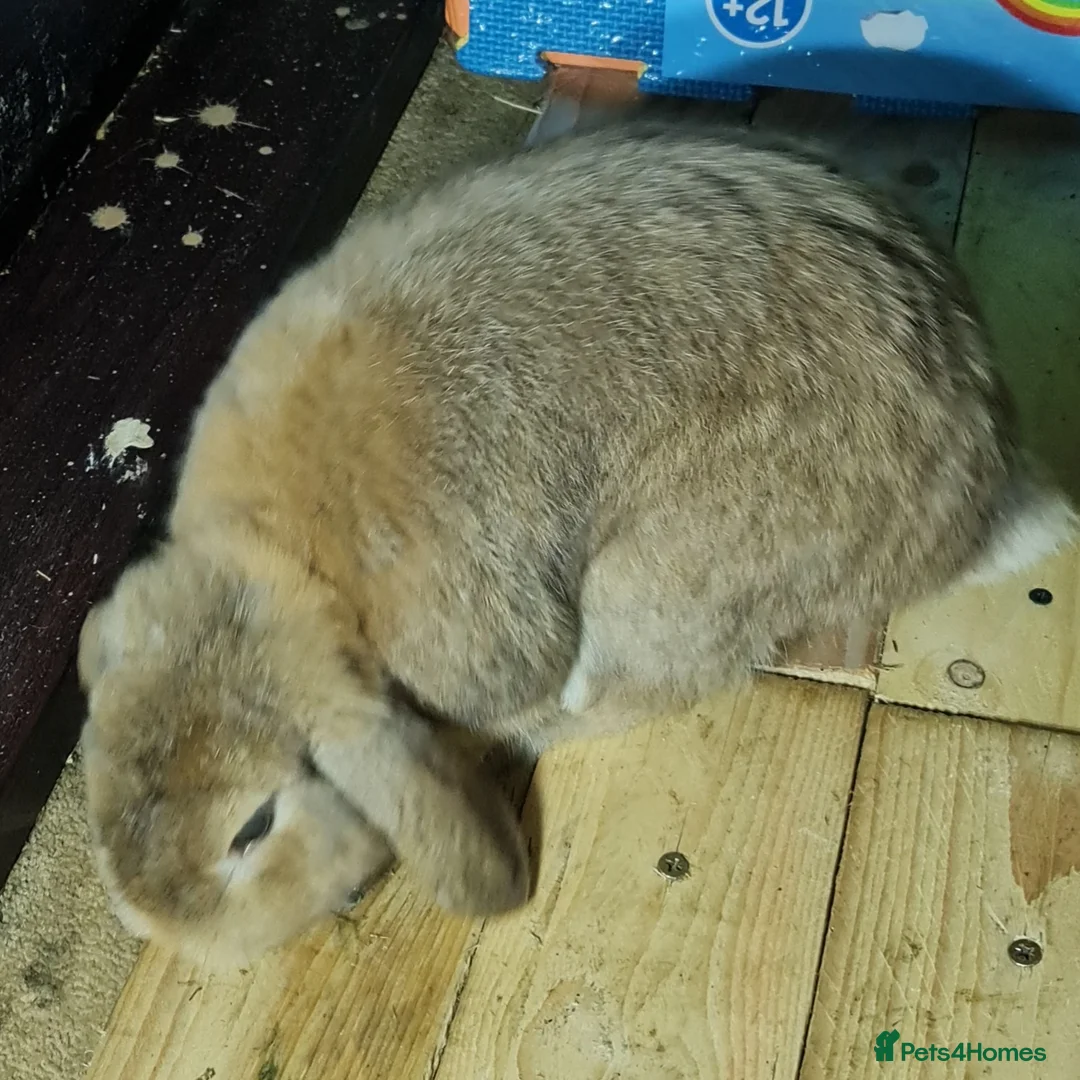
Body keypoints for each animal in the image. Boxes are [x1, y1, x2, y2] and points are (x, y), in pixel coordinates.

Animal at [77, 119, 1076, 966]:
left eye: (252, 829)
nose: (179, 938)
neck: (286, 571)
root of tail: (987, 487)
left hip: (658, 582)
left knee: (643, 688)